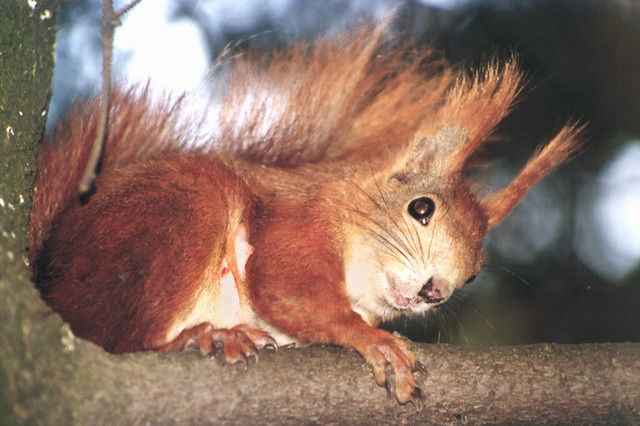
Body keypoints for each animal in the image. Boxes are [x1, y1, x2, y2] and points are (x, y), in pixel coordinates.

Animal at [28, 21, 580, 408]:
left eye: (474, 276)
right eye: (421, 208)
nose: (435, 291)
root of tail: (50, 278)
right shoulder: (299, 218)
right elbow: (284, 285)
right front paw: (373, 339)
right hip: (180, 213)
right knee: (113, 336)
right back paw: (205, 337)